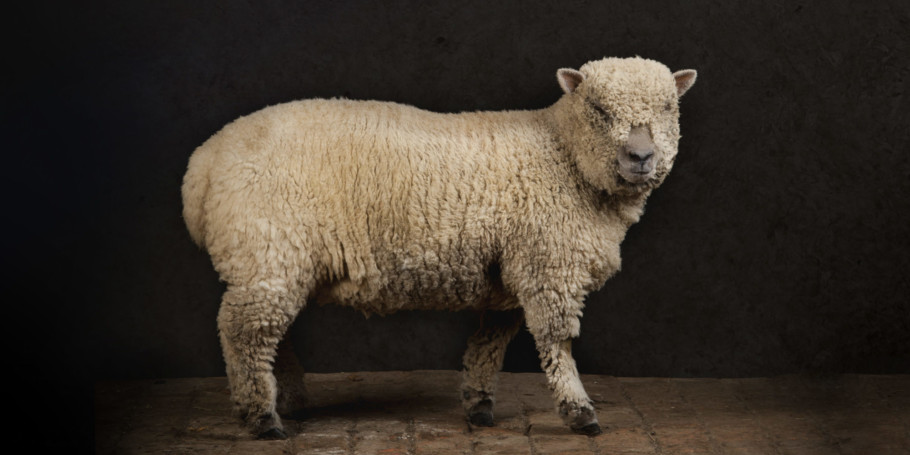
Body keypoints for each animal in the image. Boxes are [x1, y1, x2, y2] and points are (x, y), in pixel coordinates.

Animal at [182, 56, 697, 439]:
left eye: (668, 107)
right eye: (599, 109)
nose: (640, 157)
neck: (563, 154)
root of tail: (202, 167)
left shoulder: (510, 274)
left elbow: (490, 342)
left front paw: (479, 406)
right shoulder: (549, 265)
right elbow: (557, 342)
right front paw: (579, 412)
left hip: (279, 262)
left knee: (270, 333)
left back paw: (286, 399)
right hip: (266, 249)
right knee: (244, 334)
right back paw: (261, 417)